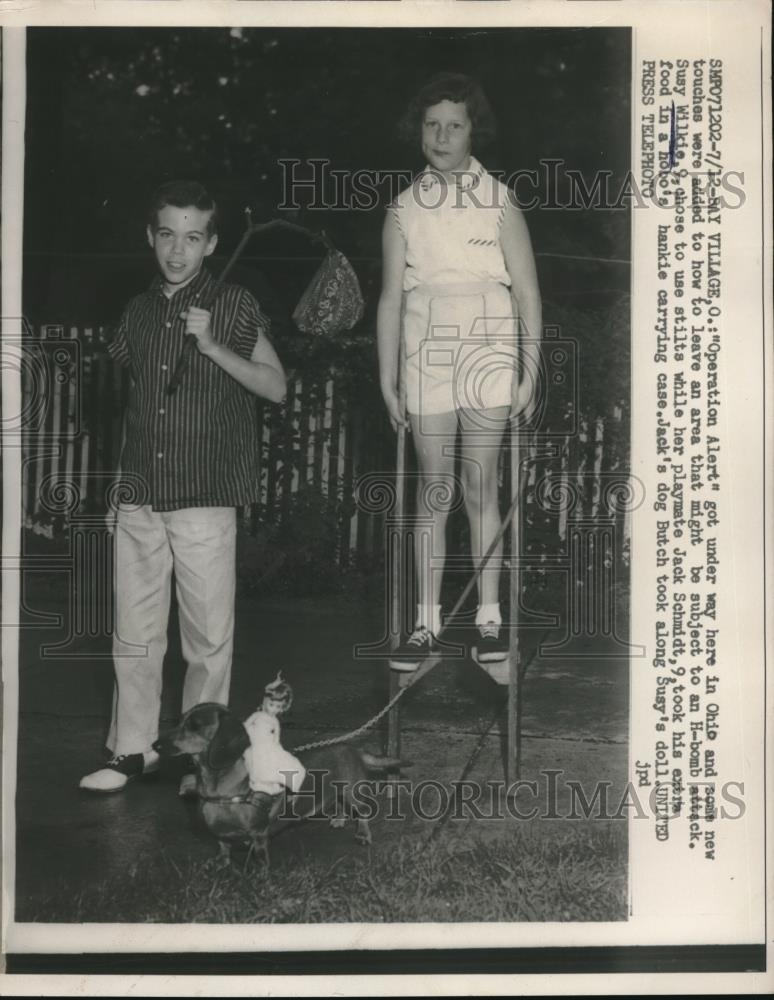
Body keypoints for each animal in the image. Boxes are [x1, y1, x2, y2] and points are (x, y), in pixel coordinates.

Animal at [153, 704, 406, 868]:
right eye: (179, 720)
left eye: (195, 726)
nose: (155, 745)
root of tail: (354, 749)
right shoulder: (221, 835)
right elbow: (223, 845)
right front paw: (220, 862)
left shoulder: (259, 834)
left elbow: (260, 857)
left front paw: (260, 875)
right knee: (339, 804)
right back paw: (339, 819)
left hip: (351, 790)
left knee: (361, 811)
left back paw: (363, 834)